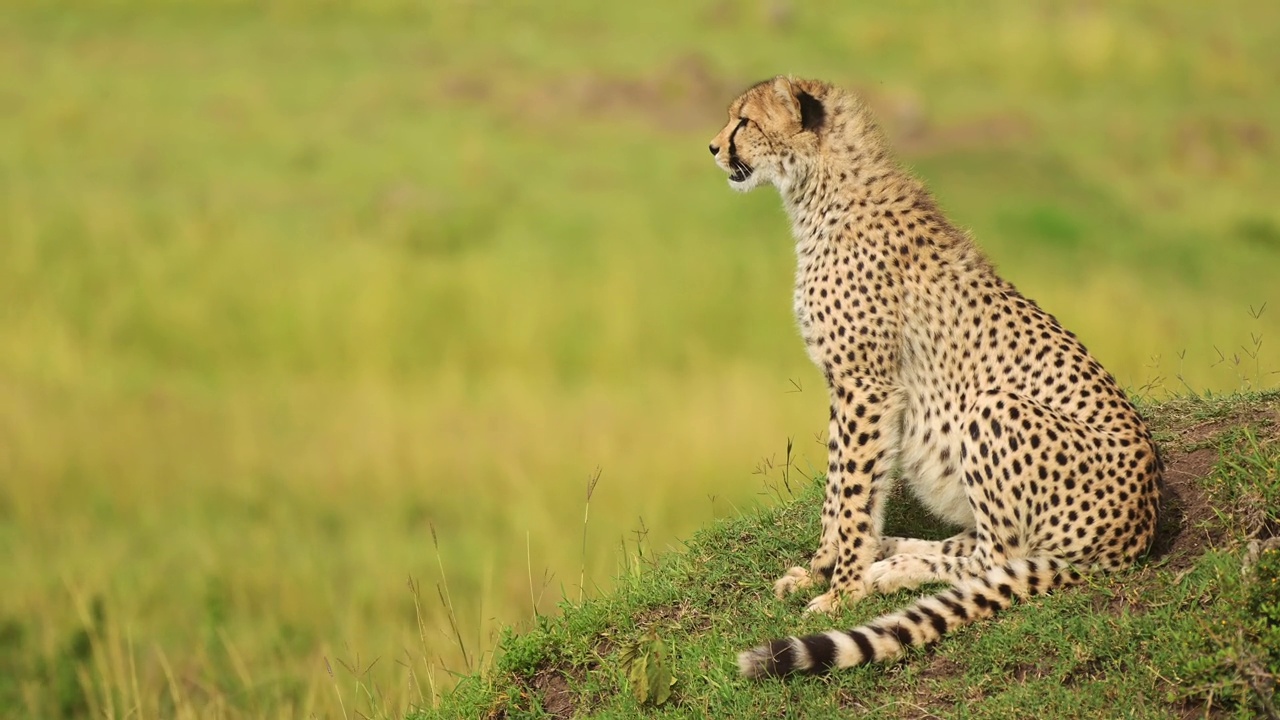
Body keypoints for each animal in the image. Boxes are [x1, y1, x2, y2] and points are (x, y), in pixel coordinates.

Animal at [706, 75, 1167, 676]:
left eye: (745, 121)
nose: (713, 147)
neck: (820, 189)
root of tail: (1141, 530)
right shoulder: (847, 386)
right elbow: (837, 487)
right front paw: (819, 569)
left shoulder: (867, 384)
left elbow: (853, 494)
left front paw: (842, 591)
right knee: (976, 545)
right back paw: (895, 550)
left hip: (994, 407)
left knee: (998, 556)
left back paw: (891, 571)